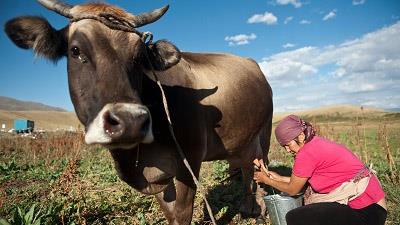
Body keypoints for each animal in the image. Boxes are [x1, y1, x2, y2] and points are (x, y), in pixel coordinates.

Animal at [4, 0, 274, 224]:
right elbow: (169, 212)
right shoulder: (157, 176)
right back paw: (247, 207)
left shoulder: (189, 162)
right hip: (240, 140)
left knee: (260, 168)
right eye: (76, 50)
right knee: (246, 167)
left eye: (139, 56)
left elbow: (182, 214)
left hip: (265, 132)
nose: (130, 121)